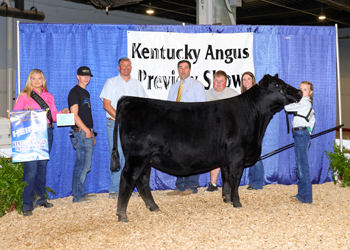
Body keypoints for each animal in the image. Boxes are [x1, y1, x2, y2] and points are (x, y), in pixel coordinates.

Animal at [110, 73, 302, 222]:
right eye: (277, 85)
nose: (300, 91)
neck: (255, 118)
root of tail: (130, 100)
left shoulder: (226, 159)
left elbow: (226, 178)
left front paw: (226, 199)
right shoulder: (237, 157)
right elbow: (235, 179)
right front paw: (237, 203)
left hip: (147, 159)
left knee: (142, 181)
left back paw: (154, 207)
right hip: (137, 157)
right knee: (128, 179)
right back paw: (122, 215)